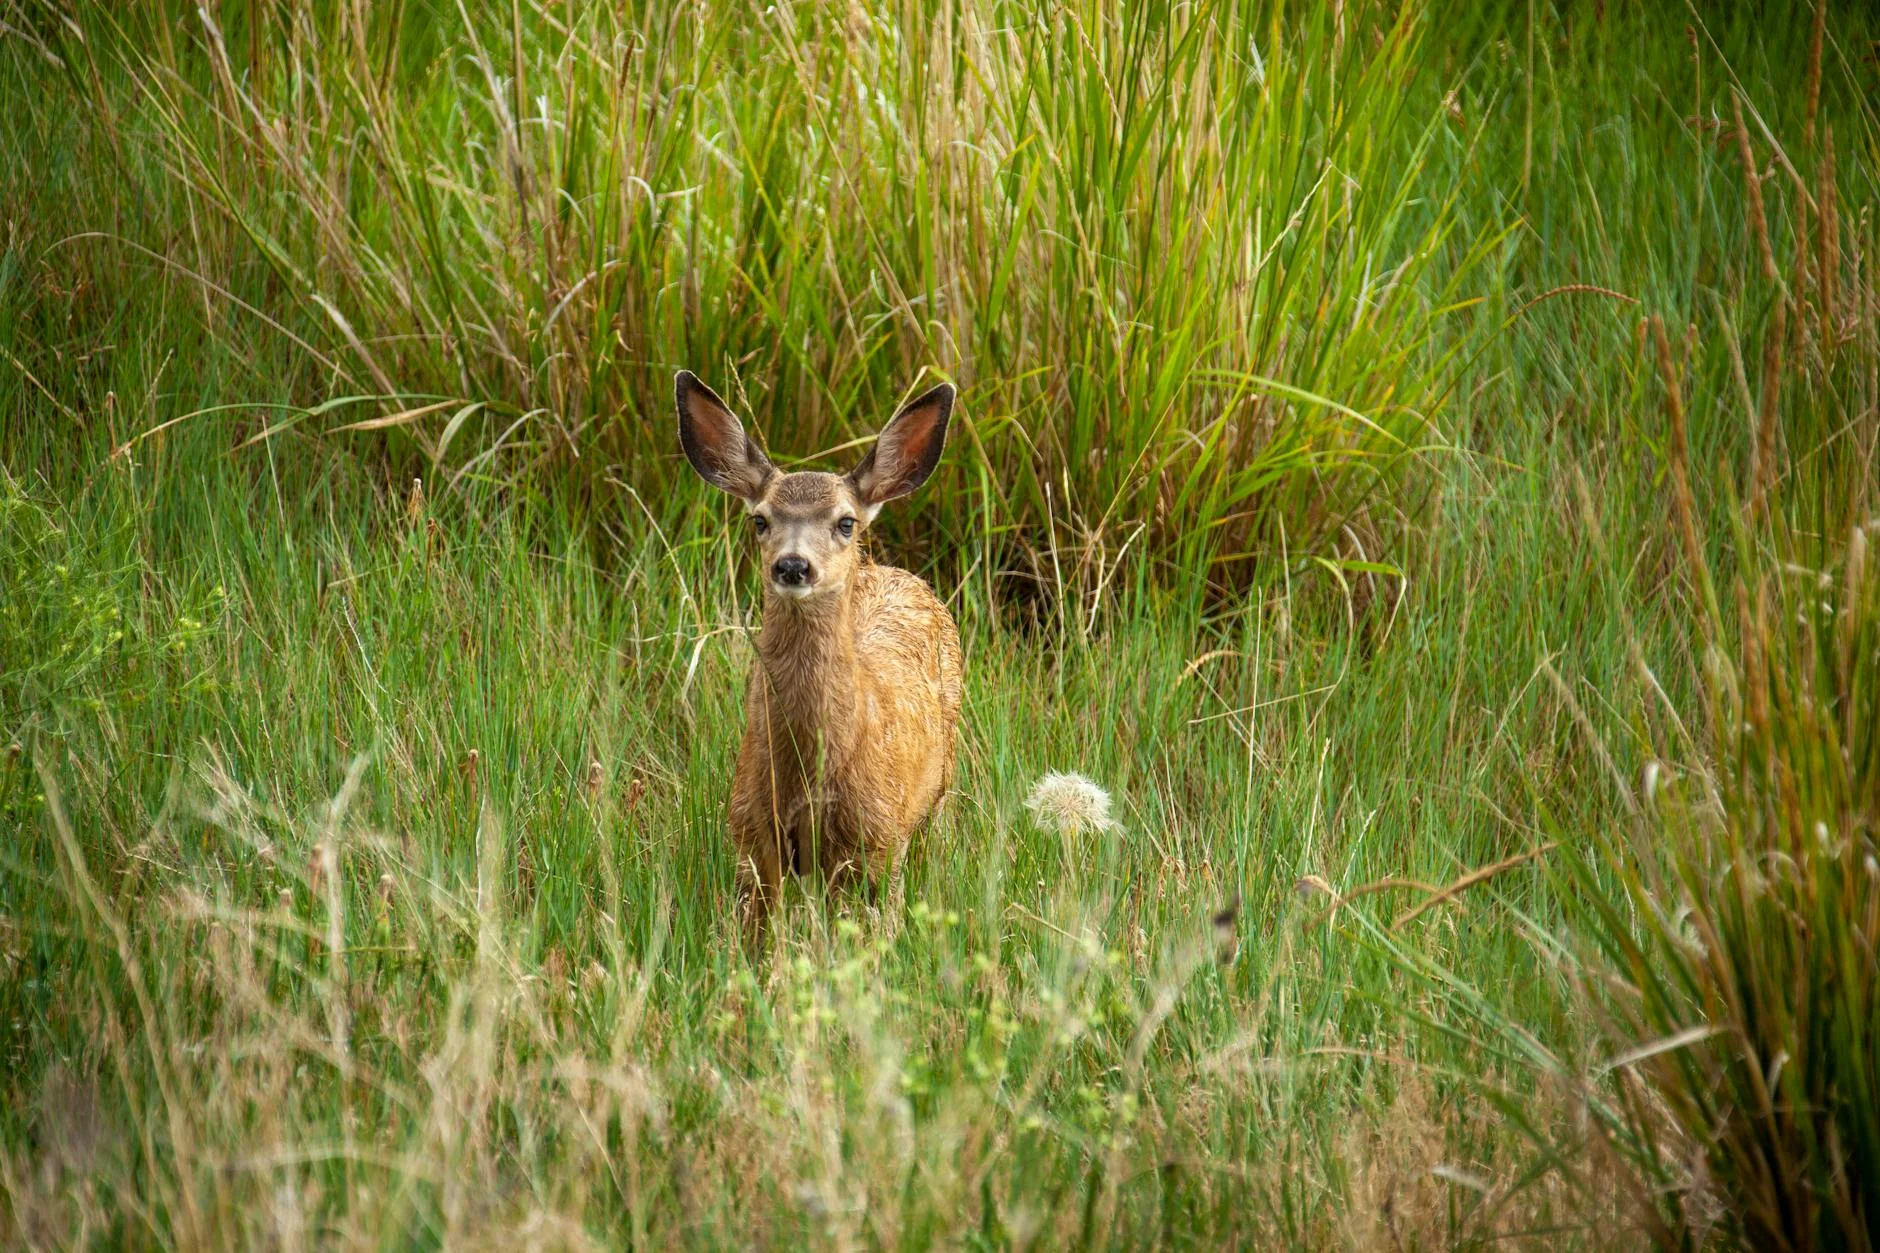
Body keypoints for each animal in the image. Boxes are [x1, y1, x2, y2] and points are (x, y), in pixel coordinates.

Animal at [675, 371, 964, 946]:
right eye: (760, 520)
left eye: (846, 522)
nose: (793, 565)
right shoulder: (750, 832)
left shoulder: (878, 837)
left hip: (939, 783)